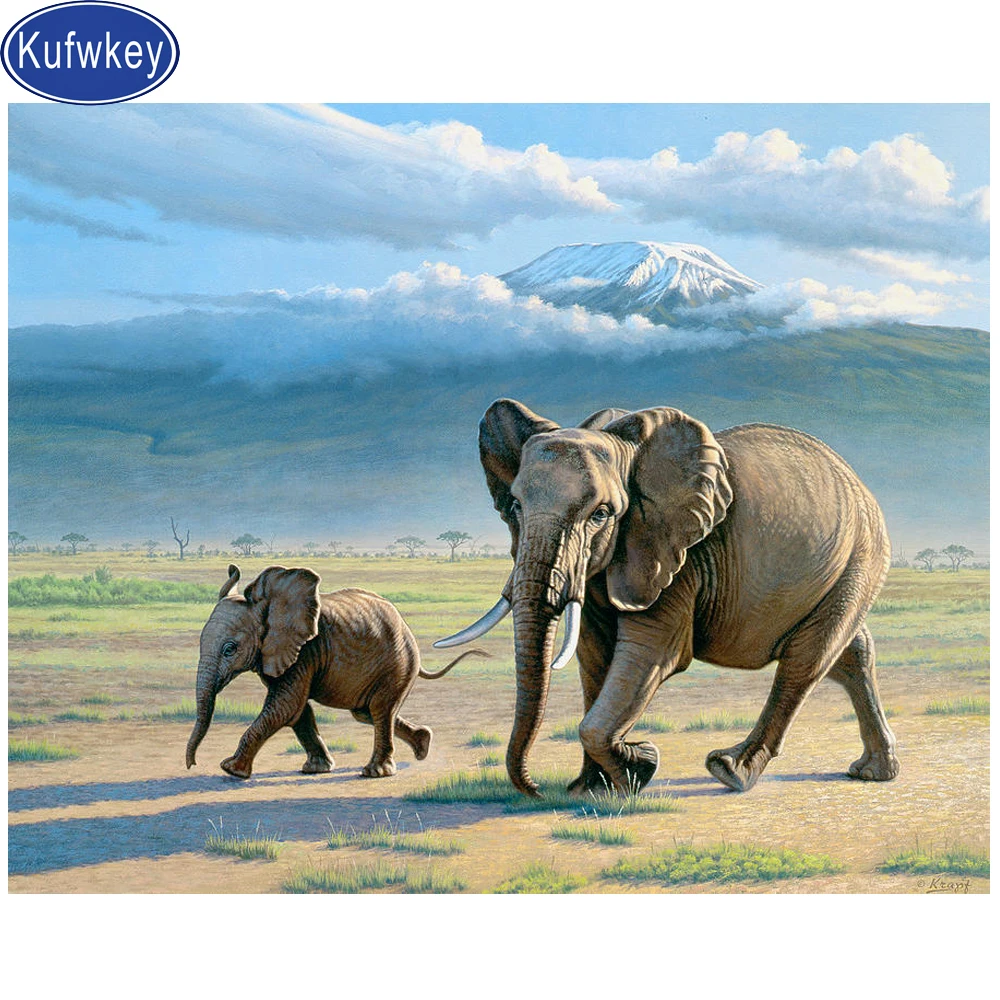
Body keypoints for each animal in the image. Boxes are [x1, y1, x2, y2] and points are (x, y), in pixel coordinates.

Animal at [186, 565, 483, 779]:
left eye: (230, 649)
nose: (192, 764)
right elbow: (296, 710)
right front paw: (315, 770)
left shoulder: (305, 649)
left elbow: (285, 706)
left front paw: (231, 770)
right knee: (366, 713)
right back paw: (423, 745)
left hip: (397, 664)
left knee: (380, 710)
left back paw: (375, 773)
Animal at [436, 398, 899, 797]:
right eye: (515, 506)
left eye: (601, 514)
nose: (534, 789)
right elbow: (595, 656)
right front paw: (591, 788)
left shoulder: (676, 553)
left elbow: (652, 652)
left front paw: (640, 766)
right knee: (850, 653)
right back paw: (872, 772)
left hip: (860, 557)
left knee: (806, 660)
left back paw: (730, 771)